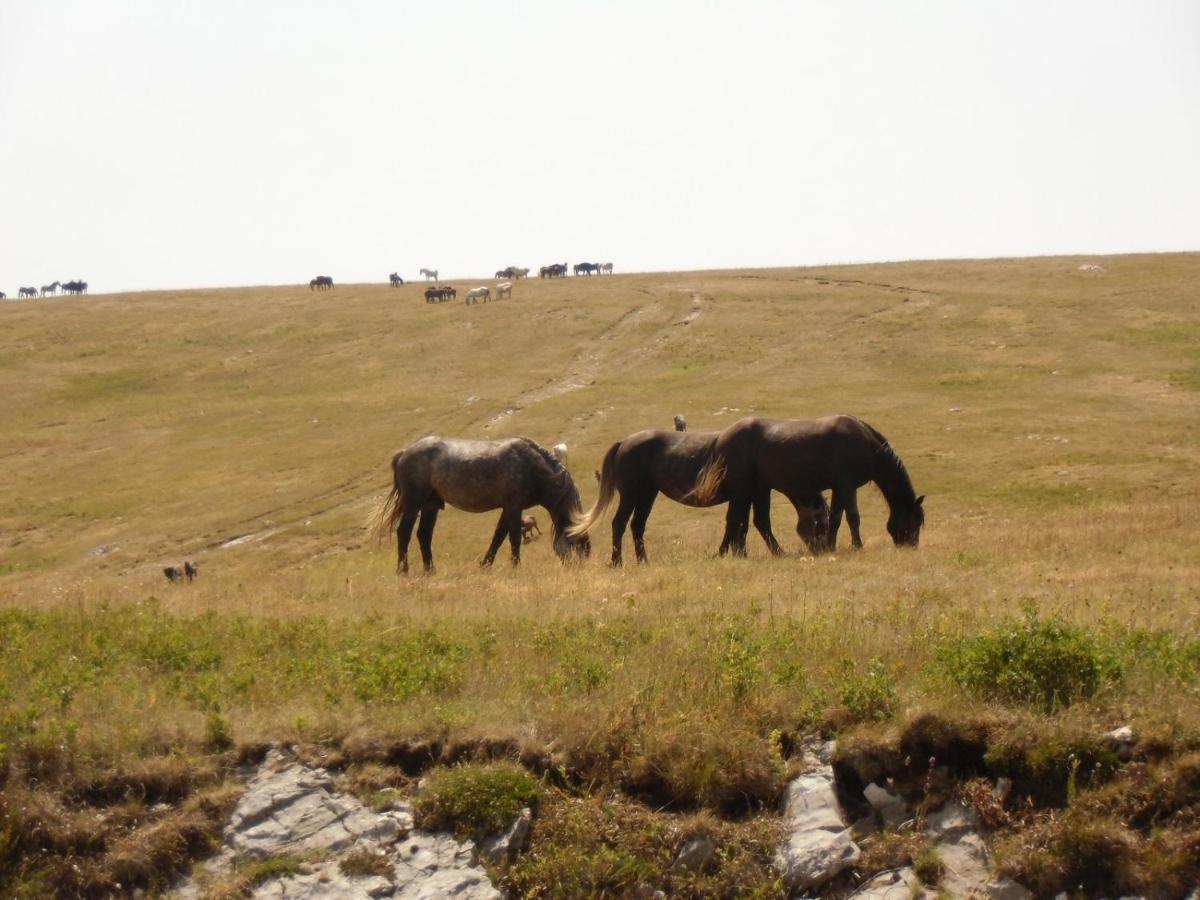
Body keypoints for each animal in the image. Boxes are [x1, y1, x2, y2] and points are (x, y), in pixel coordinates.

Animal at [369, 439, 585, 578]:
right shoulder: (514, 508)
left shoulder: (508, 509)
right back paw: (403, 571)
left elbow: (498, 537)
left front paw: (485, 565)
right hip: (413, 504)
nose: (579, 567)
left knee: (423, 535)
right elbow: (513, 538)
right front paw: (516, 567)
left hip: (431, 506)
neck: (531, 466)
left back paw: (430, 570)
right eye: (578, 544)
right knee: (404, 532)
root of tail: (403, 453)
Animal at [566, 427, 830, 564]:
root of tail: (624, 442)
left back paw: (643, 561)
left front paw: (732, 553)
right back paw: (617, 562)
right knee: (619, 524)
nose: (824, 550)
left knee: (636, 526)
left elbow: (740, 524)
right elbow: (751, 522)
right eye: (821, 522)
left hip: (647, 496)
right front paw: (772, 553)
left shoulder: (750, 494)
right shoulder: (748, 494)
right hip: (632, 495)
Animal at [691, 420, 921, 554]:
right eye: (914, 521)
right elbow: (853, 517)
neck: (866, 445)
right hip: (744, 491)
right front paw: (857, 546)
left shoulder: (839, 487)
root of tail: (721, 437)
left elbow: (836, 518)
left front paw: (830, 546)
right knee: (739, 521)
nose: (912, 546)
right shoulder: (847, 486)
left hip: (754, 490)